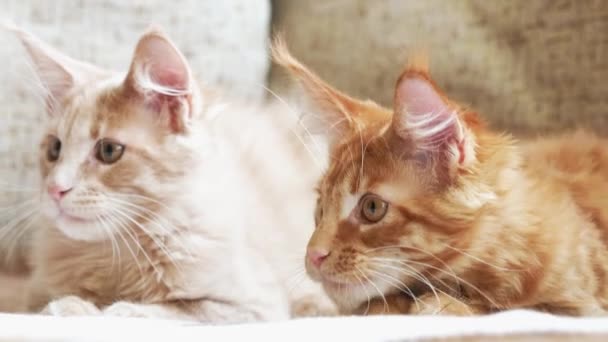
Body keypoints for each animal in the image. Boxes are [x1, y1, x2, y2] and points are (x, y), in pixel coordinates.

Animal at [4, 26, 334, 320]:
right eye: (54, 149)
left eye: (109, 151)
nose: (55, 189)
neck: (114, 252)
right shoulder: (34, 291)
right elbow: (43, 301)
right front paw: (72, 304)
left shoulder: (250, 304)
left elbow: (170, 310)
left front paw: (106, 309)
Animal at [274, 42, 608, 316]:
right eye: (320, 208)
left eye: (372, 208)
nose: (313, 255)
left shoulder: (583, 302)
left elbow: (512, 307)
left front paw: (444, 303)